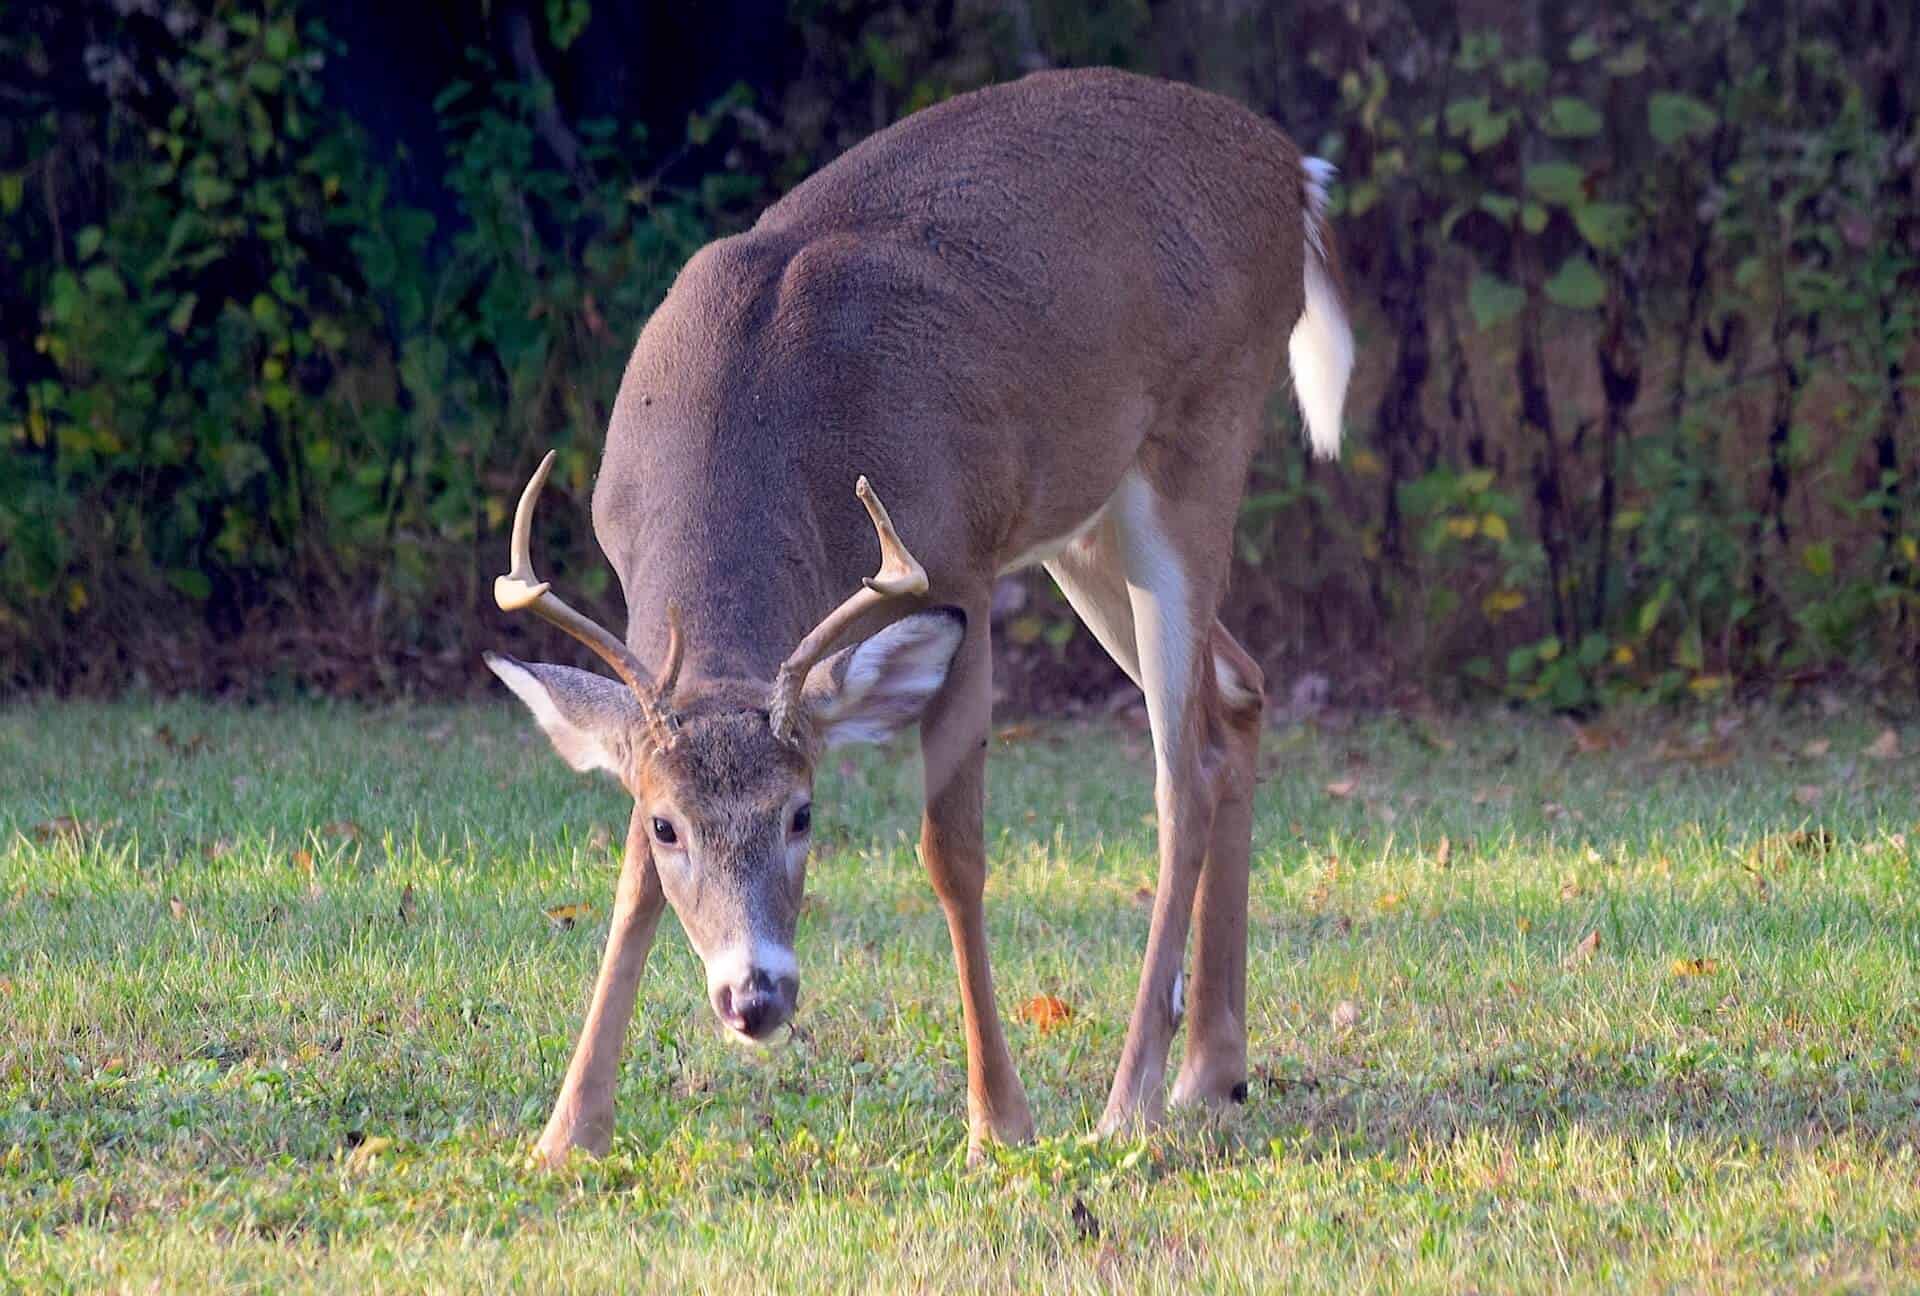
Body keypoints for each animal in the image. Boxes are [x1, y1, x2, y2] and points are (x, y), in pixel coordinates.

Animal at [483, 68, 1351, 1167]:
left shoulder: (961, 566)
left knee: (1180, 772)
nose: (756, 999)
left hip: (1201, 440)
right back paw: (1212, 1072)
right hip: (1084, 522)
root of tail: (1295, 174)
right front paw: (568, 1131)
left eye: (803, 813)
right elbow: (629, 877)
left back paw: (1131, 1100)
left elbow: (953, 853)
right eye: (670, 823)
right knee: (1237, 691)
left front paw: (1000, 1122)